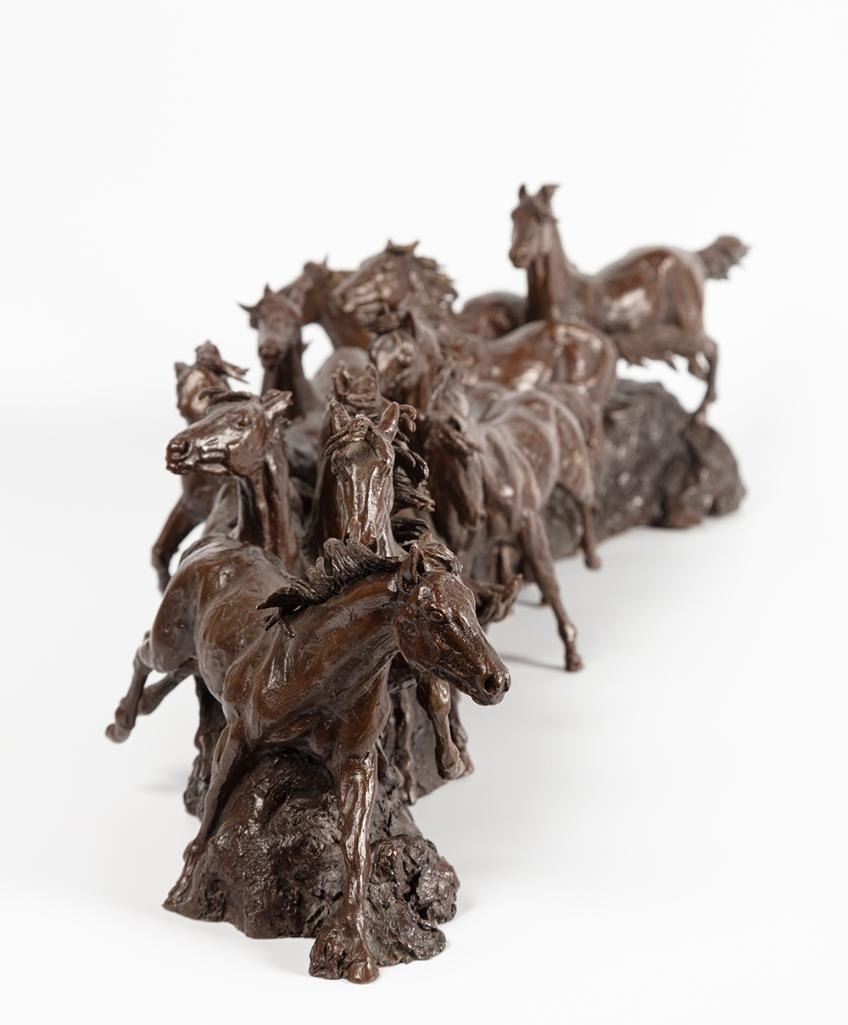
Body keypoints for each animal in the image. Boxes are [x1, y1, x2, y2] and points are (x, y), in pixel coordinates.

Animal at [421, 365, 600, 672]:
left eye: (467, 455)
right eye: (431, 465)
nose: (473, 516)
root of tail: (549, 395)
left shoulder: (528, 523)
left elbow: (548, 576)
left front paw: (572, 653)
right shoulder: (466, 551)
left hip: (574, 475)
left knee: (585, 505)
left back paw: (592, 559)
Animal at [509, 183, 748, 418]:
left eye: (540, 218)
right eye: (513, 215)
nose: (517, 255)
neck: (565, 293)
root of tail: (694, 256)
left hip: (689, 326)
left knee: (712, 348)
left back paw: (700, 412)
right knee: (699, 361)